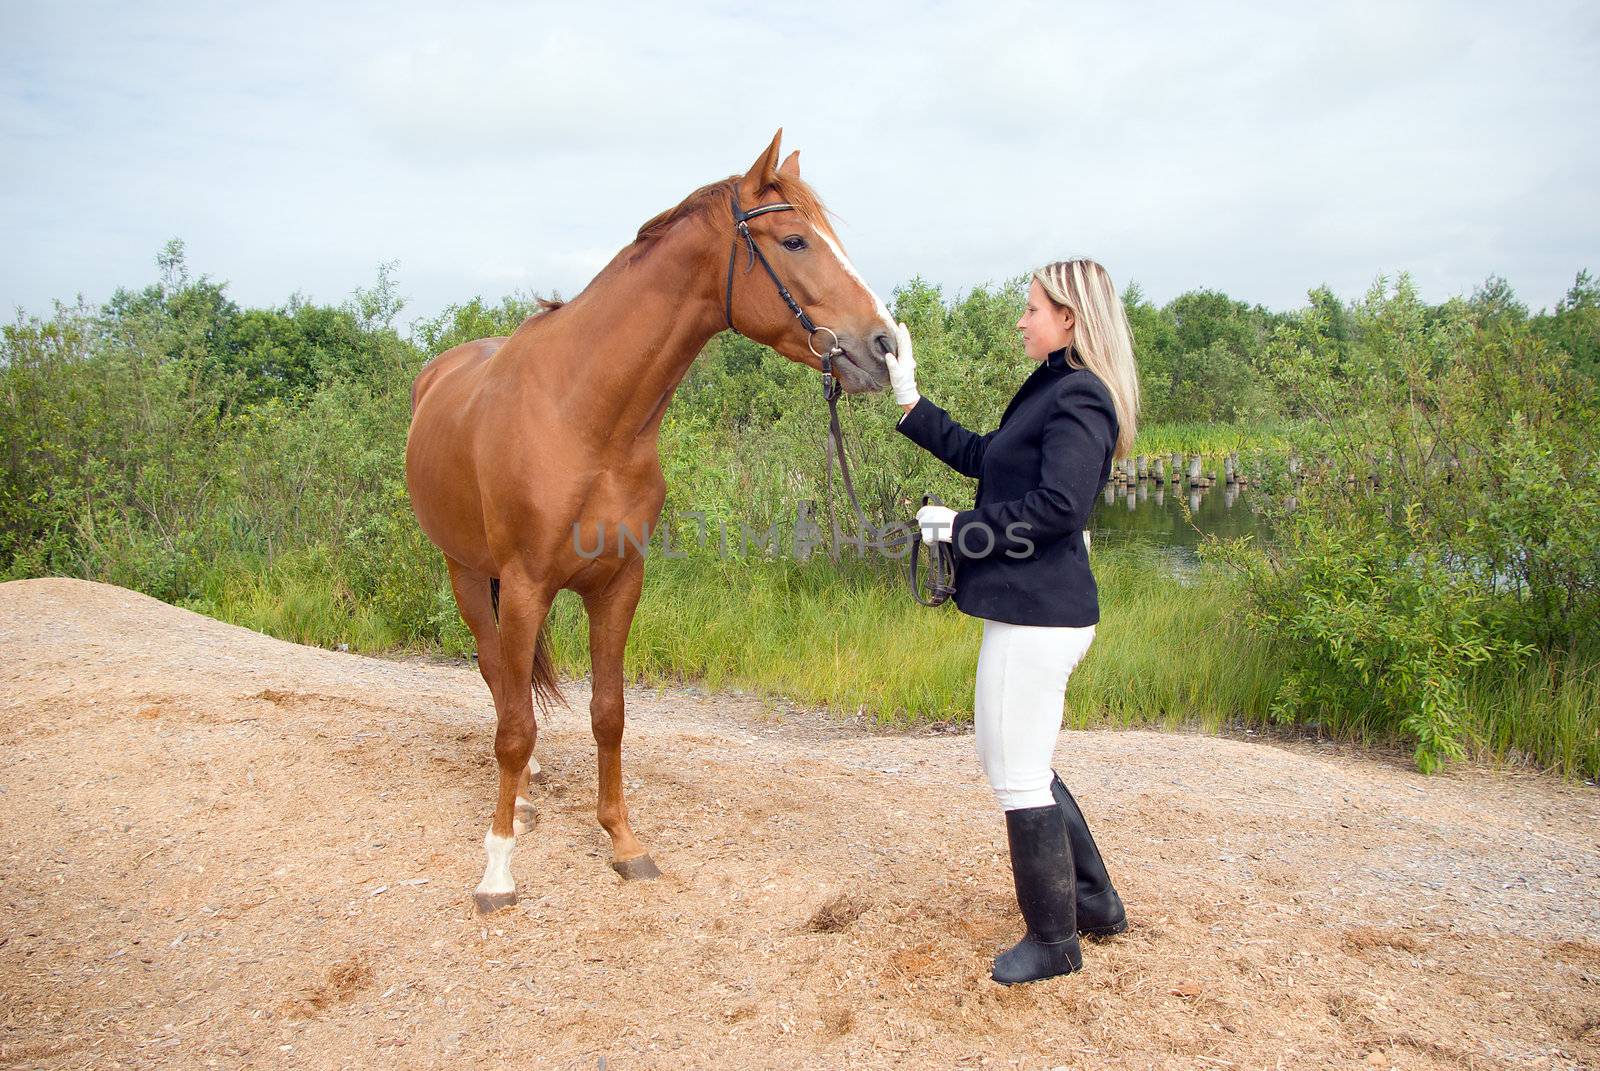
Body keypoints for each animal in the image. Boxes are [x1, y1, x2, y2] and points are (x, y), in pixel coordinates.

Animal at [406, 129, 896, 909]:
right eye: (793, 239)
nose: (883, 345)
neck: (584, 415)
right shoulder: (525, 585)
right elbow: (514, 727)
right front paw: (497, 866)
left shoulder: (619, 584)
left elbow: (609, 713)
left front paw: (624, 843)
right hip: (466, 572)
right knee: (496, 677)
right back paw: (521, 802)